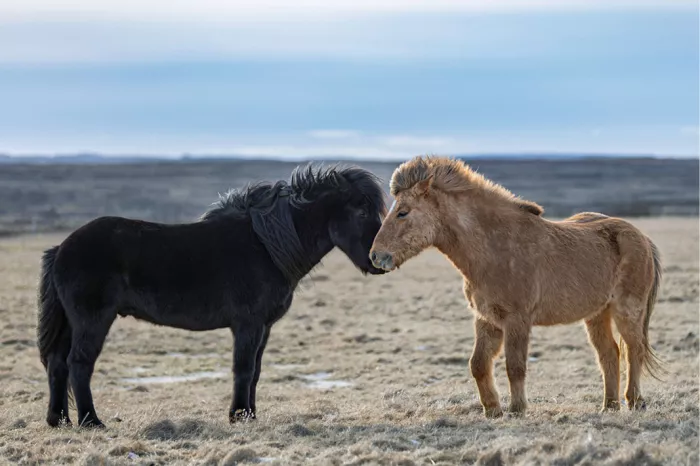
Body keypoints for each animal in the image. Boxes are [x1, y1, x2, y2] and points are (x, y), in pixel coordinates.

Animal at [37, 164, 386, 428]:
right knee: (79, 364)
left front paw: (250, 415)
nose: (379, 260)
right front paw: (239, 415)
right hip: (92, 321)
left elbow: (255, 371)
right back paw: (91, 421)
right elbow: (243, 369)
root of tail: (63, 247)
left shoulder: (264, 327)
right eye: (360, 211)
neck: (265, 247)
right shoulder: (248, 325)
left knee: (57, 364)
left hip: (71, 323)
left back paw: (59, 420)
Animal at [370, 156, 663, 418]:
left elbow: (515, 366)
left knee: (633, 350)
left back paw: (635, 402)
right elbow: (478, 364)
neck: (495, 248)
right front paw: (492, 410)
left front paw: (517, 409)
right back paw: (609, 407)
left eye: (403, 212)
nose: (376, 256)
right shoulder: (486, 319)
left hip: (627, 311)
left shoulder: (517, 320)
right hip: (597, 315)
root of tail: (641, 237)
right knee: (609, 354)